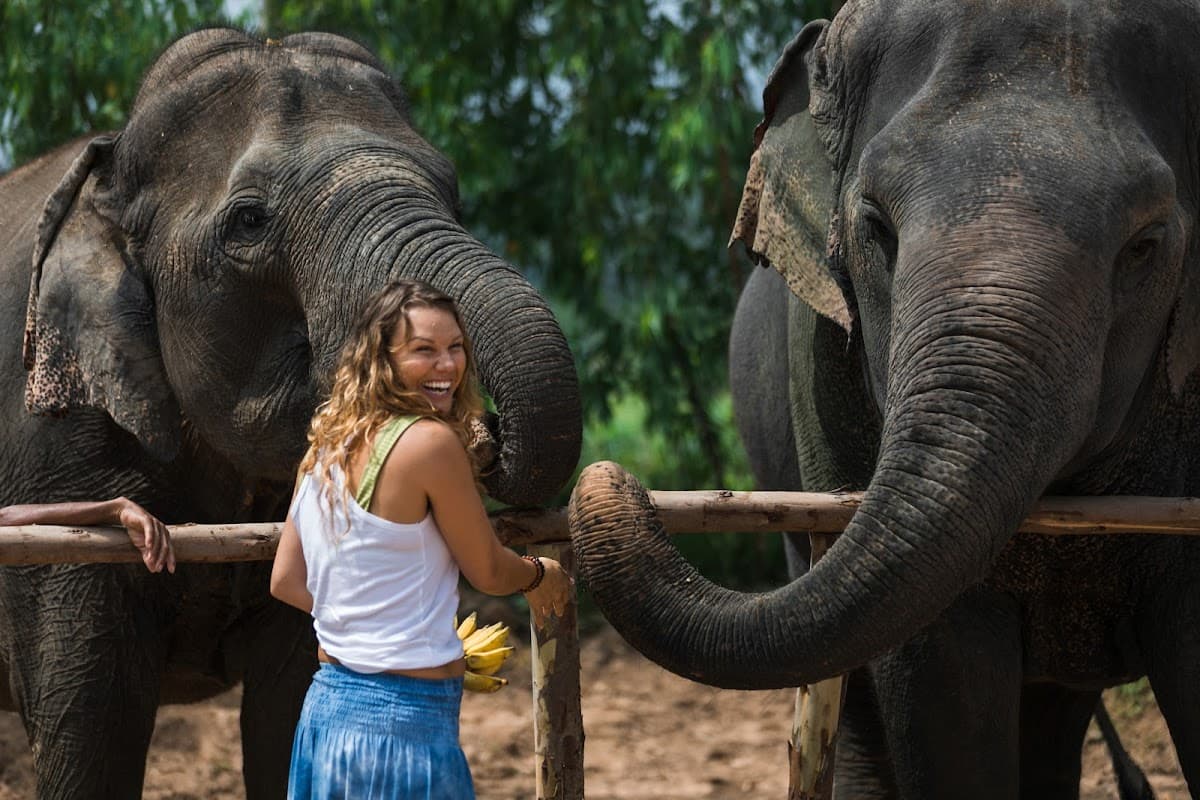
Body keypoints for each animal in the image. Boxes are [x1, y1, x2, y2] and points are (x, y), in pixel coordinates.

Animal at [0, 28, 581, 799]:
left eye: (452, 193)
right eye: (249, 221)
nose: (484, 432)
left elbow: (291, 703)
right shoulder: (53, 452)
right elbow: (94, 731)